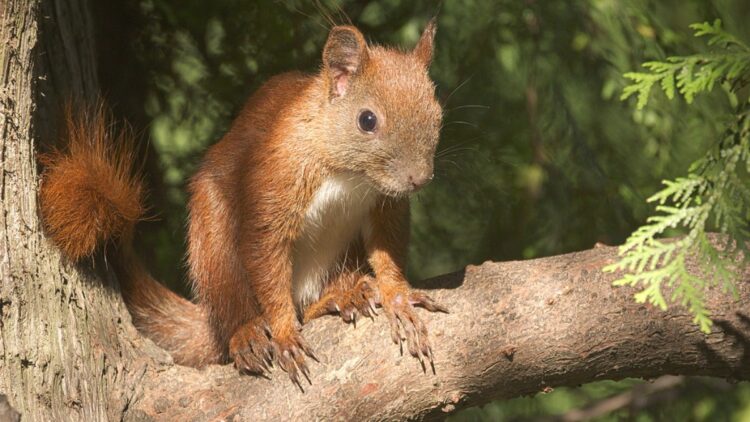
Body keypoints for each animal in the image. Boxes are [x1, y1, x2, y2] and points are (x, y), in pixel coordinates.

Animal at [39, 20, 446, 387]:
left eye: (437, 114)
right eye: (367, 120)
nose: (418, 179)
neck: (348, 174)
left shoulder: (387, 206)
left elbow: (388, 252)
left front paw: (399, 299)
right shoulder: (271, 184)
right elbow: (266, 256)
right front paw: (284, 333)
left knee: (313, 302)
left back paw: (344, 295)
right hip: (215, 249)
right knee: (236, 306)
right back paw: (247, 332)